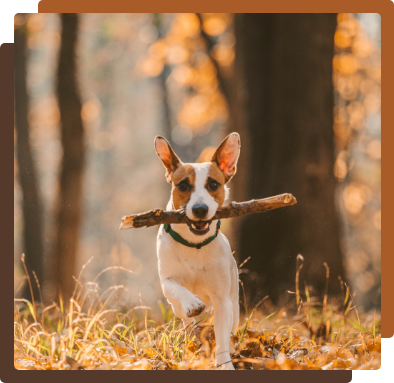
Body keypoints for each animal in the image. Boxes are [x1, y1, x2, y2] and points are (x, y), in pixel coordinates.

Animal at [154, 134, 240, 370]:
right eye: (183, 185)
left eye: (213, 184)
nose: (200, 209)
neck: (194, 244)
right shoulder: (167, 280)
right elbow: (176, 288)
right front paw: (192, 303)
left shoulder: (222, 300)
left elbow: (222, 338)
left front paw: (224, 363)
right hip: (175, 309)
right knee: (187, 321)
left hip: (235, 304)